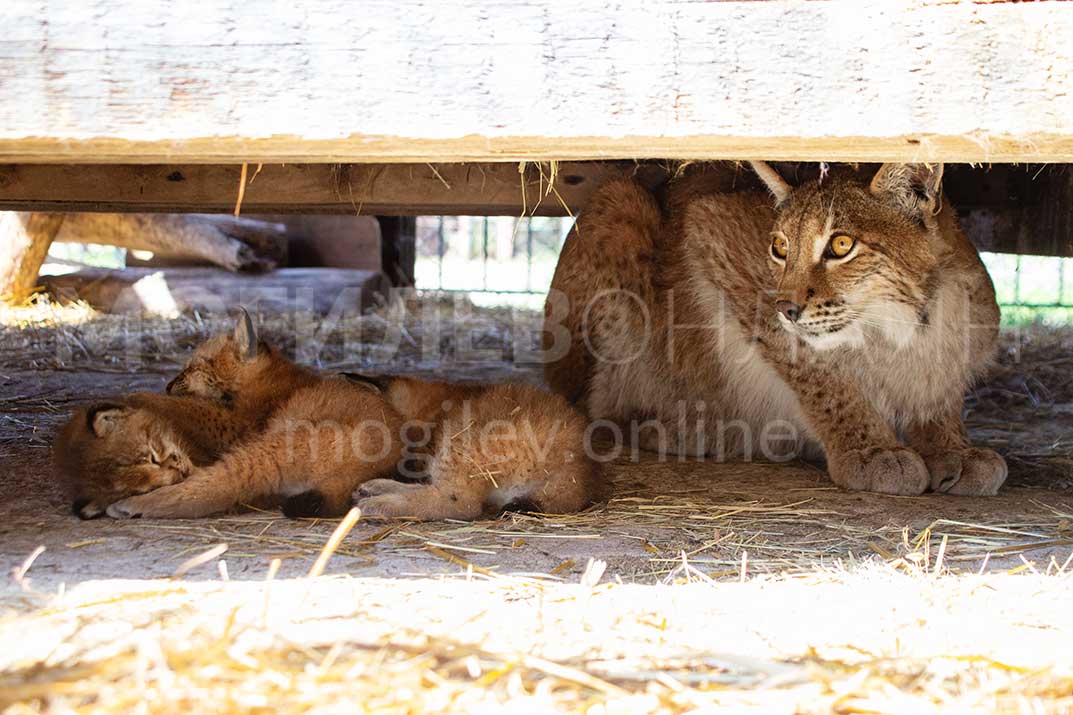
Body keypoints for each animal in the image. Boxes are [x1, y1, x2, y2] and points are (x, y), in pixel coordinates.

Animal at [545, 162, 1004, 495]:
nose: (787, 308)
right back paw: (691, 429)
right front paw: (870, 449)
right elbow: (819, 372)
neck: (898, 326)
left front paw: (951, 446)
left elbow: (940, 382)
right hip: (621, 199)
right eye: (779, 247)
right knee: (592, 407)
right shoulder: (711, 227)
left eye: (841, 245)